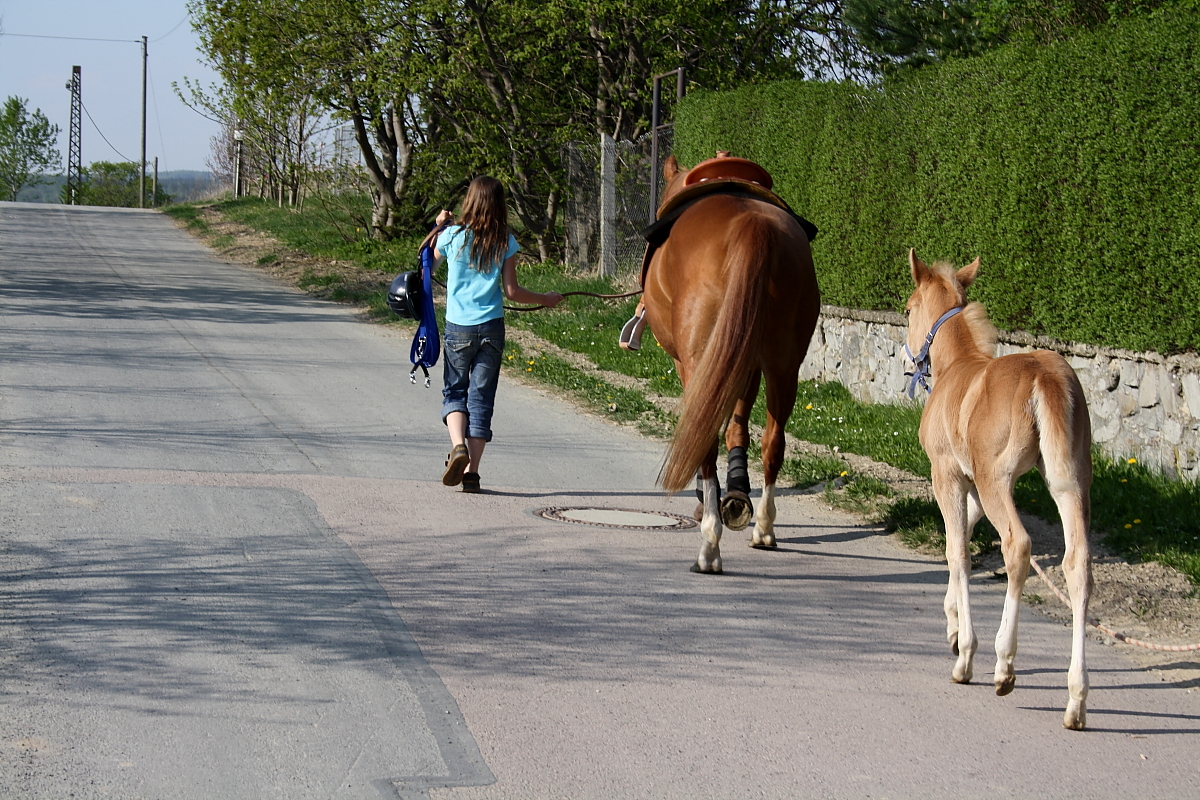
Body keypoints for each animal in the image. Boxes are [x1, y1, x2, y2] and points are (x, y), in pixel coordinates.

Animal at [643, 154, 820, 568]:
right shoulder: (748, 361)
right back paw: (764, 528)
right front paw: (738, 492)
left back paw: (710, 542)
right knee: (774, 442)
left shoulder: (692, 364)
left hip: (702, 358)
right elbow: (738, 425)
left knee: (704, 436)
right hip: (784, 364)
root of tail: (753, 224)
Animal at [902, 251, 1094, 734]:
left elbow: (958, 551)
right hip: (1071, 479)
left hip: (998, 479)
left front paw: (964, 653)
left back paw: (1004, 664)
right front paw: (952, 625)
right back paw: (1076, 699)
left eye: (908, 310)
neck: (956, 366)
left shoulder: (948, 475)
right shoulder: (969, 484)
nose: (907, 356)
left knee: (1017, 545)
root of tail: (1046, 377)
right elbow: (962, 535)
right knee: (1077, 563)